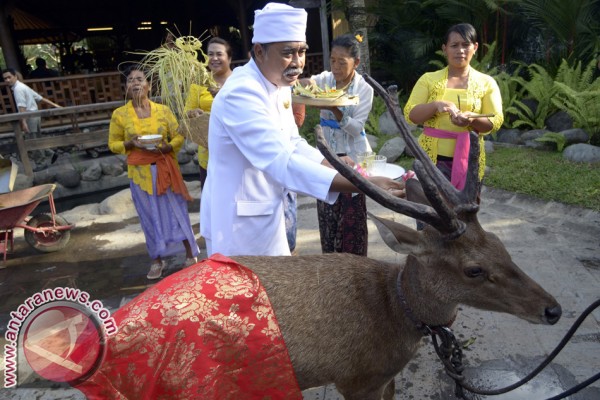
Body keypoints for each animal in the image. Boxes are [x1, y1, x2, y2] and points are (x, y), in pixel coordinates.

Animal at [72, 76, 560, 400]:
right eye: (473, 270)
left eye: (501, 245)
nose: (552, 309)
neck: (394, 318)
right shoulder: (355, 379)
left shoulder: (385, 379)